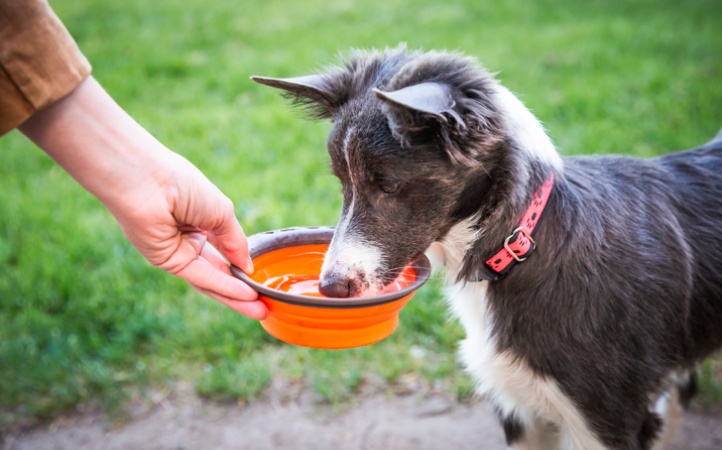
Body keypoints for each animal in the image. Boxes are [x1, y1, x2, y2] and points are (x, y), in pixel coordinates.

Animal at [252, 46, 720, 450]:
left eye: (387, 185)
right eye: (342, 182)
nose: (330, 288)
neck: (520, 246)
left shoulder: (604, 419)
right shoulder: (521, 411)